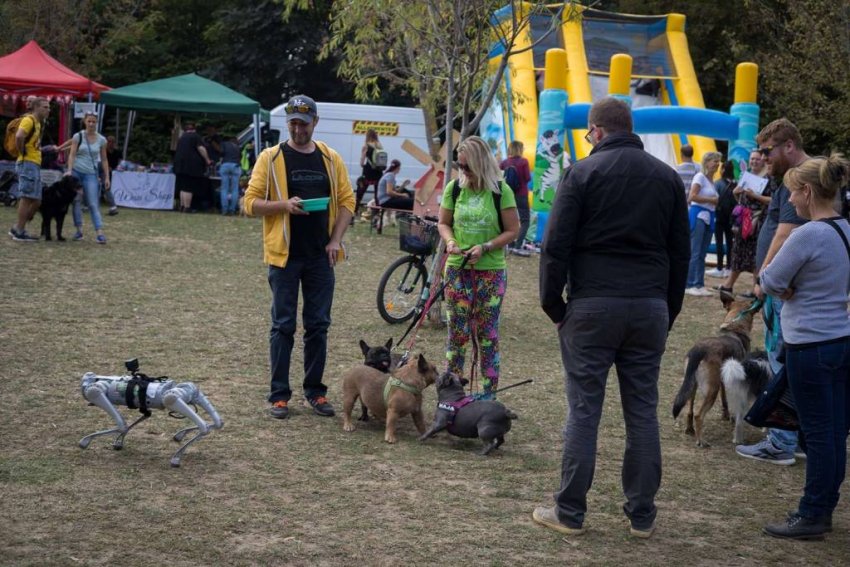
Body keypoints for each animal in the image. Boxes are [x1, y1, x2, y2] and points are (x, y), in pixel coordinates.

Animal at [78, 360, 222, 466]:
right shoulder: (144, 407)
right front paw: (118, 442)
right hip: (189, 393)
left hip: (171, 397)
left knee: (203, 425)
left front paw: (85, 441)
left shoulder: (96, 391)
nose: (85, 385)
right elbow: (140, 418)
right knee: (218, 422)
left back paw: (176, 456)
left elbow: (122, 425)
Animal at [668, 292, 760, 448]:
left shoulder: (722, 379)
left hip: (692, 385)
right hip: (711, 390)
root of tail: (699, 350)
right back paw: (701, 441)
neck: (735, 327)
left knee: (689, 410)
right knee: (698, 415)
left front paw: (726, 415)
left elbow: (724, 399)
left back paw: (690, 429)